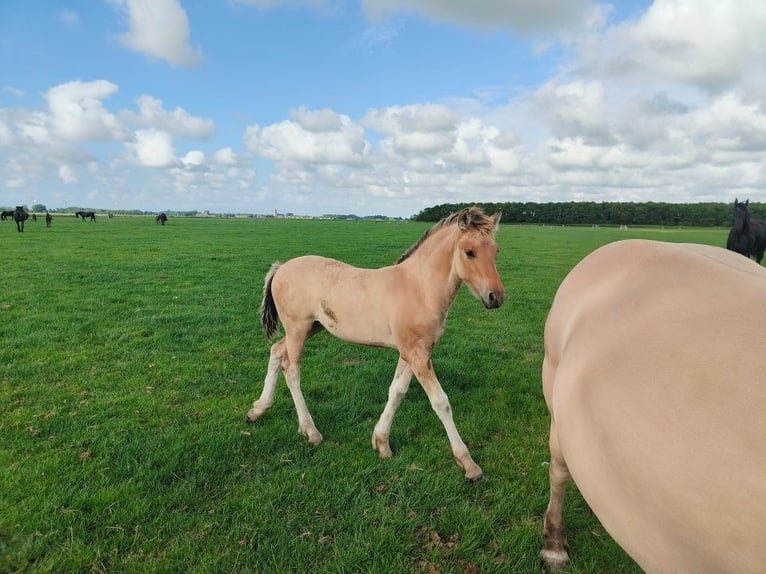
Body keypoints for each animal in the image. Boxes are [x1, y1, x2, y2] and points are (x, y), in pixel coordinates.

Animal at [247, 207, 505, 481]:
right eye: (469, 252)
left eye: (496, 251)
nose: (496, 297)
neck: (419, 288)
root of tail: (281, 267)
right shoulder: (417, 354)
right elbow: (440, 402)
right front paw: (468, 464)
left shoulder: (413, 352)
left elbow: (397, 391)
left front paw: (381, 443)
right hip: (297, 328)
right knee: (292, 371)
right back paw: (310, 431)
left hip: (310, 328)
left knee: (276, 351)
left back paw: (258, 410)